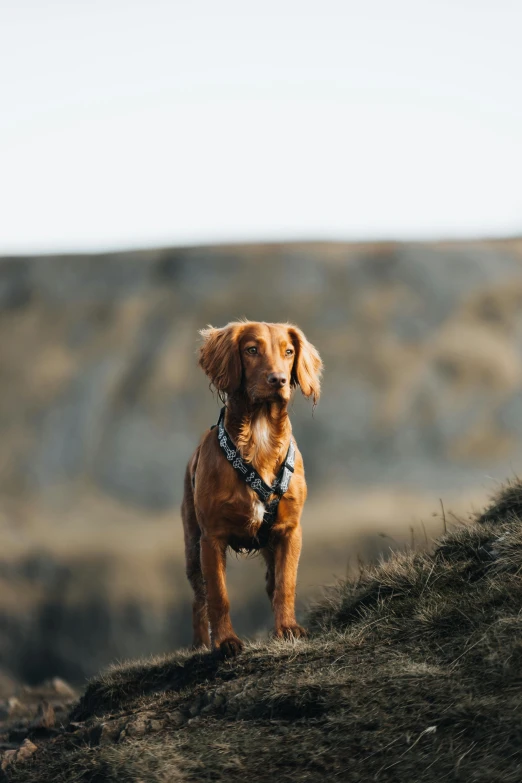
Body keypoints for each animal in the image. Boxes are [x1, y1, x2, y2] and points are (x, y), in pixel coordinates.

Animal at [182, 322, 320, 660]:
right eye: (252, 350)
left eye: (289, 351)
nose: (278, 380)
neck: (259, 436)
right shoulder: (211, 538)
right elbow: (218, 595)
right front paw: (225, 641)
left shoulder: (290, 531)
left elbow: (285, 584)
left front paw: (287, 629)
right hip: (192, 546)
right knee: (198, 598)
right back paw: (199, 644)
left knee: (272, 583)